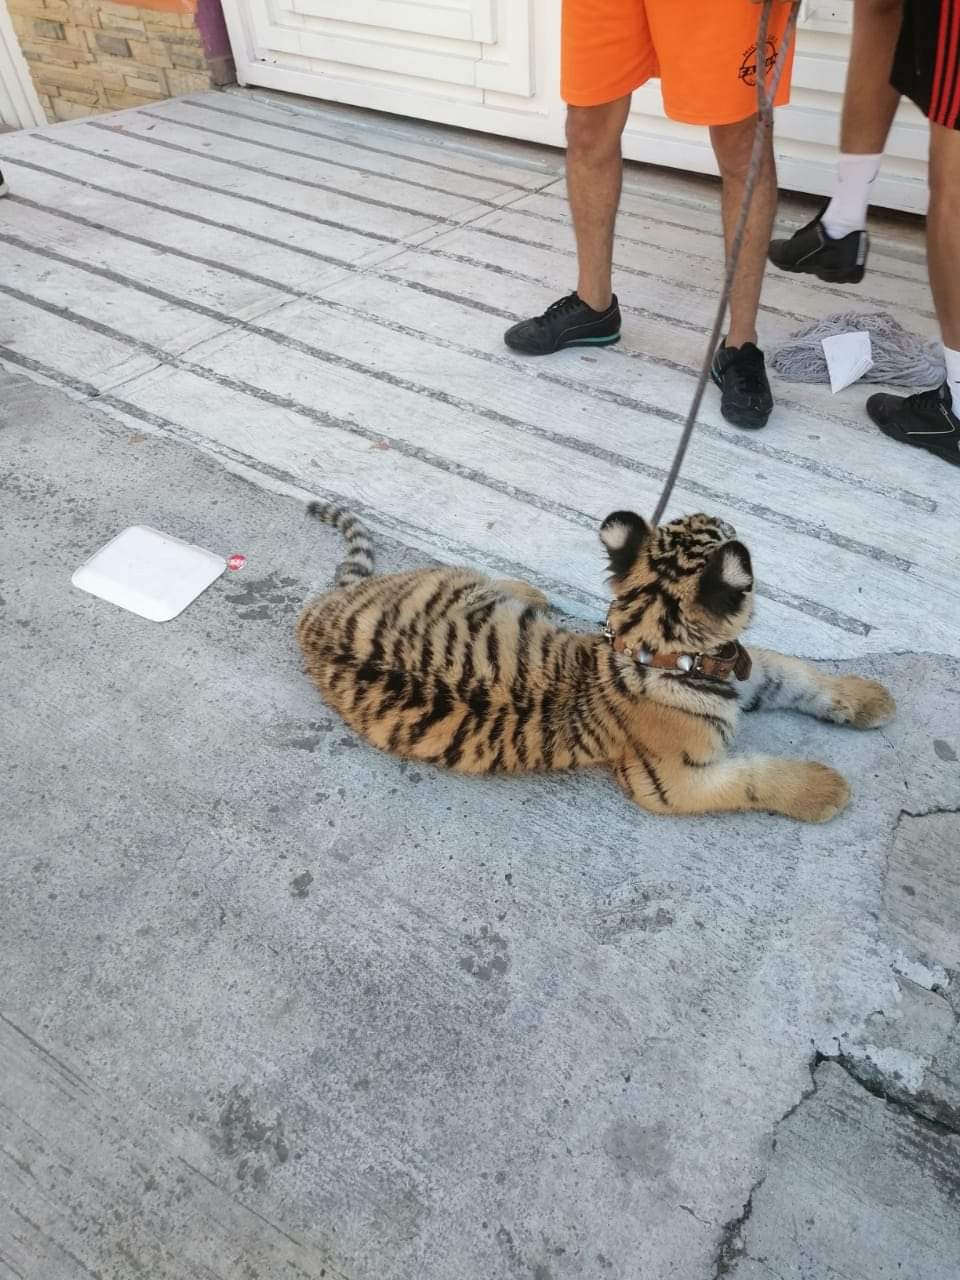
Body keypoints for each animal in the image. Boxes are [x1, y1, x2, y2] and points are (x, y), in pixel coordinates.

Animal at [296, 502, 895, 822]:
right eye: (719, 531)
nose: (726, 517)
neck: (663, 649)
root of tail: (318, 612)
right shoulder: (669, 782)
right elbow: (753, 777)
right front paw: (824, 790)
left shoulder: (746, 671)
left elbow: (802, 676)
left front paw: (872, 700)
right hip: (450, 579)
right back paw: (536, 596)